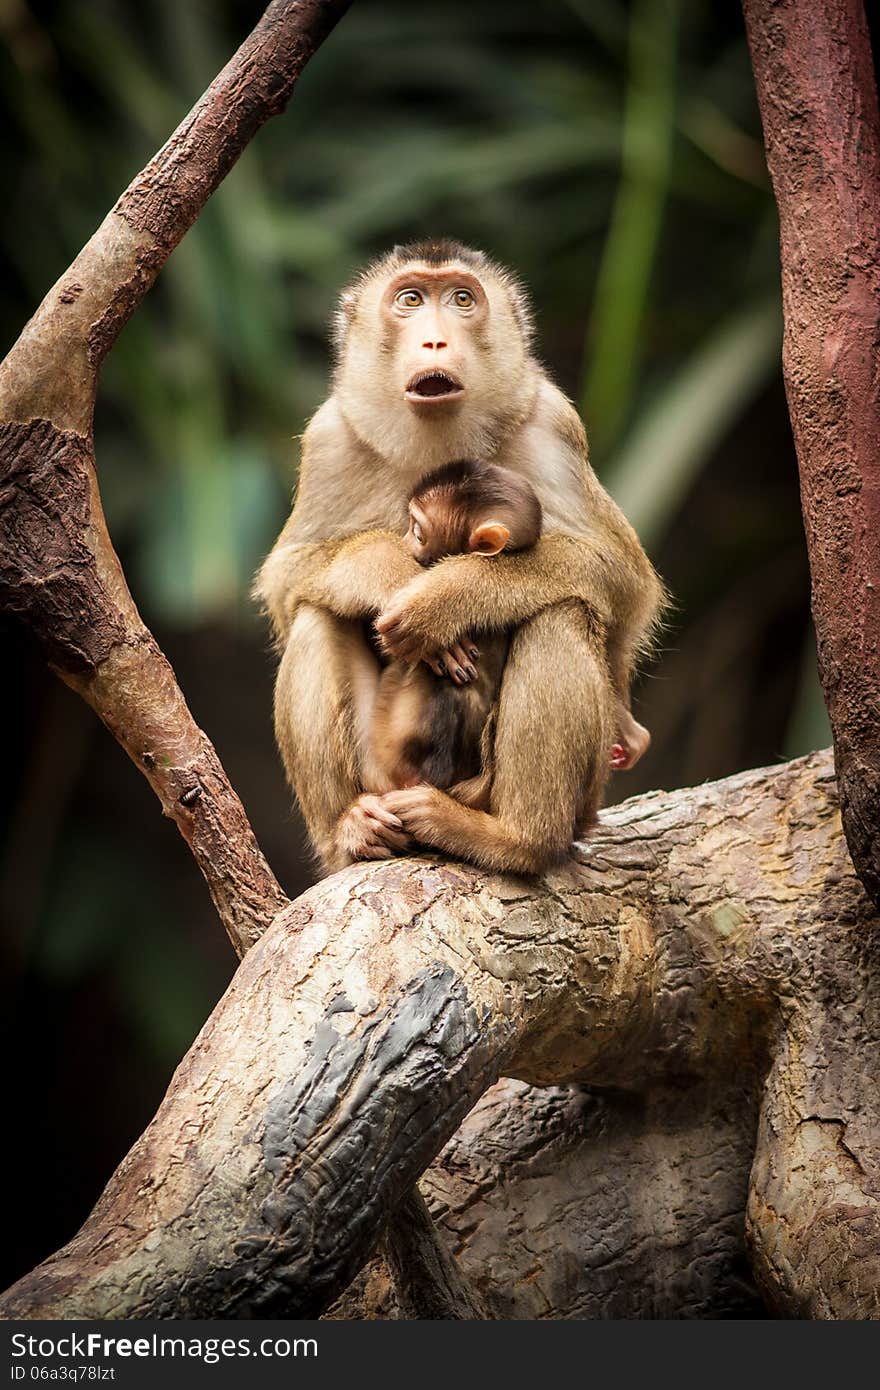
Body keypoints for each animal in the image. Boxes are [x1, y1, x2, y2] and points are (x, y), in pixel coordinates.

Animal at [251, 239, 658, 867]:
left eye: (463, 300)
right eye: (411, 300)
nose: (436, 340)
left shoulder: (552, 423)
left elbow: (619, 576)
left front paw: (446, 598)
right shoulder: (330, 439)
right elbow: (288, 575)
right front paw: (386, 572)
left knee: (561, 612)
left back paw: (514, 838)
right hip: (384, 778)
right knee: (317, 612)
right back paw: (350, 830)